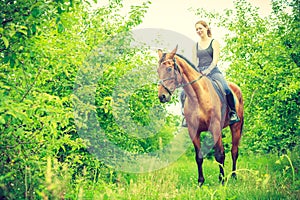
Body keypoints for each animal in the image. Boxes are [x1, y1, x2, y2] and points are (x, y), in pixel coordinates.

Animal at [157, 45, 244, 186]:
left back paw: (234, 176)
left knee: (234, 151)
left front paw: (222, 180)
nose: (162, 96)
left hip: (236, 126)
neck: (198, 96)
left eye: (169, 69)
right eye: (158, 70)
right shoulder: (193, 131)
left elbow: (220, 154)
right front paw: (200, 182)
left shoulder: (215, 128)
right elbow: (199, 157)